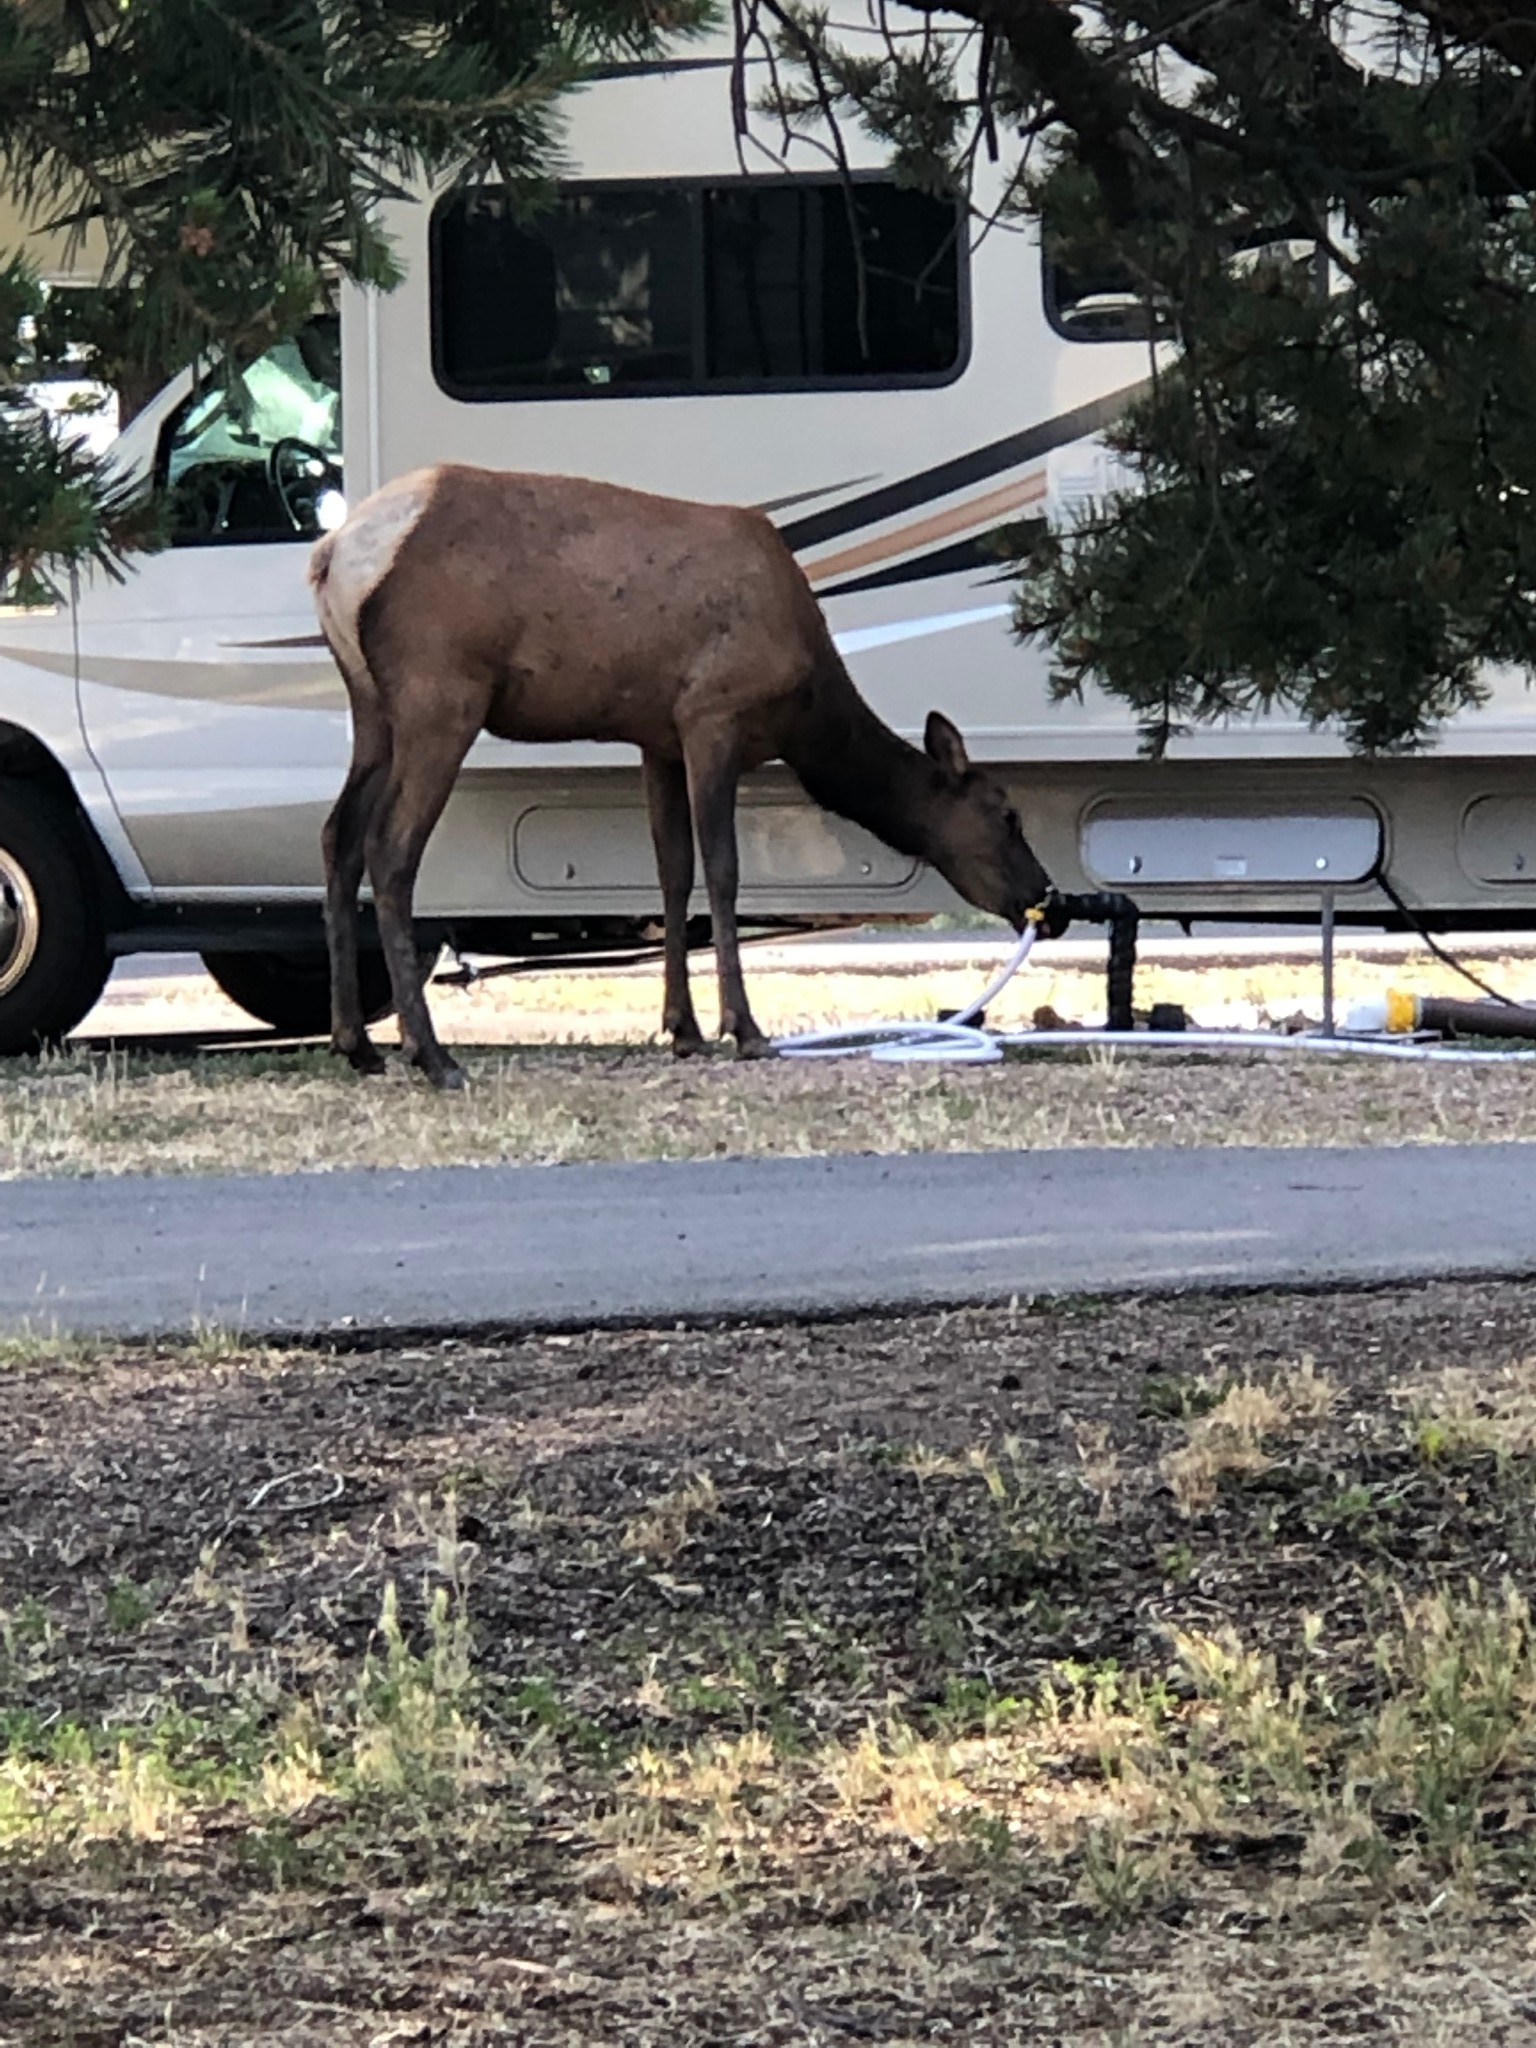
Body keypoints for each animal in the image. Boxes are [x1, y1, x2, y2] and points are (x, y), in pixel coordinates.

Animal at [309, 468, 1056, 1097]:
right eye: (1007, 814)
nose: (1048, 900)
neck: (806, 708)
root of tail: (334, 558)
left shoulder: (656, 739)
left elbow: (672, 871)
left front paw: (684, 1030)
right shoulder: (711, 716)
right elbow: (722, 871)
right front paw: (743, 1029)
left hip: (371, 706)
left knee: (338, 834)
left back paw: (358, 1044)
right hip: (442, 692)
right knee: (391, 847)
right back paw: (431, 1056)